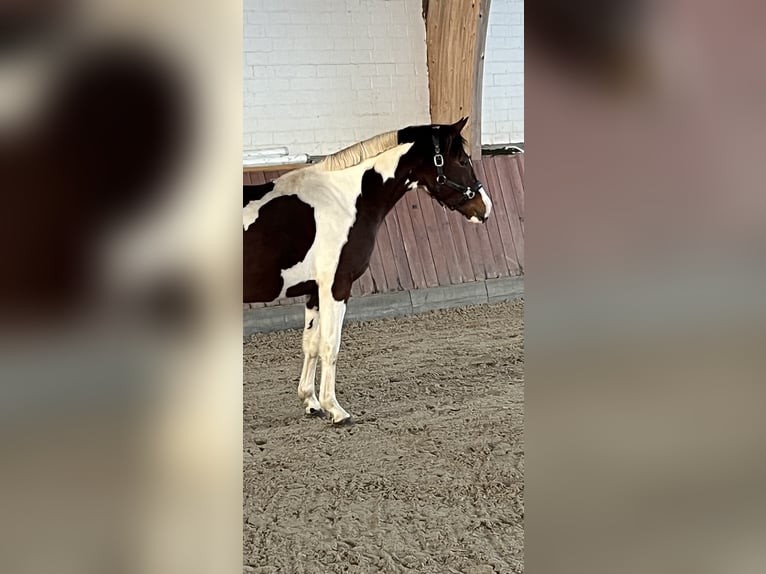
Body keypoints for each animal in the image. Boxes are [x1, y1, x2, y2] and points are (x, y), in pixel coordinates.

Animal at [243, 120, 492, 428]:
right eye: (462, 160)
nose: (485, 208)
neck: (344, 198)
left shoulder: (315, 291)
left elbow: (310, 344)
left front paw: (311, 402)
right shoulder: (336, 287)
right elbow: (331, 345)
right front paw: (336, 410)